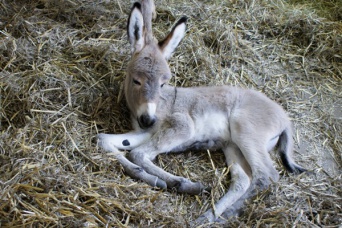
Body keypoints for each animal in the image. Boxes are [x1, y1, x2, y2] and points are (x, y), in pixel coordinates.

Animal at [97, 0, 306, 224]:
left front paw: (181, 183)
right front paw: (153, 179)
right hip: (233, 146)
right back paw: (209, 217)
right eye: (137, 80)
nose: (148, 119)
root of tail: (285, 119)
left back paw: (226, 215)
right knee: (243, 180)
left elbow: (137, 153)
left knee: (266, 175)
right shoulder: (145, 132)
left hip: (247, 132)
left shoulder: (181, 127)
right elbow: (104, 140)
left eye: (163, 83)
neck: (162, 105)